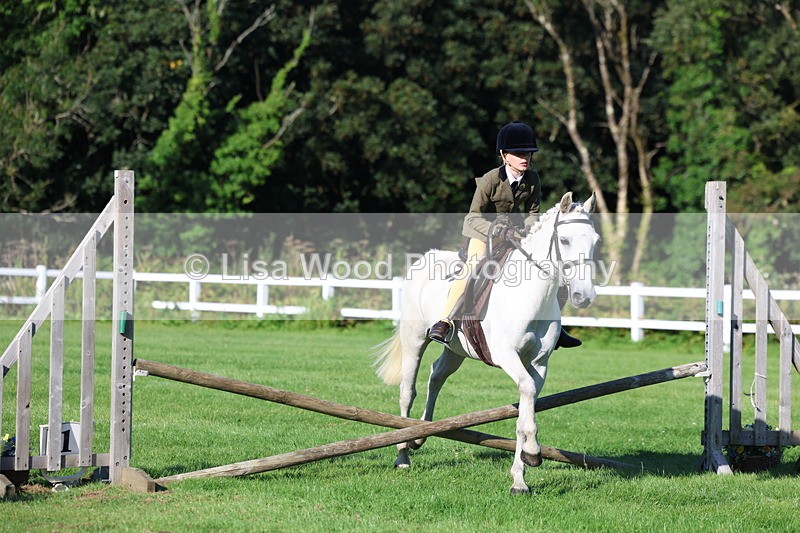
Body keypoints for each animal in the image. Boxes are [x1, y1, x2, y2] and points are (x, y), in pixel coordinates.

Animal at [373, 191, 599, 494]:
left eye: (595, 240)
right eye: (564, 240)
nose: (584, 296)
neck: (532, 297)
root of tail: (426, 257)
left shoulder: (539, 363)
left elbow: (525, 409)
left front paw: (520, 476)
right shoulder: (506, 355)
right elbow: (526, 394)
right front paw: (533, 451)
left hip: (456, 349)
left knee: (436, 375)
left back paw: (420, 434)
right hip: (415, 339)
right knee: (407, 390)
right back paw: (403, 454)